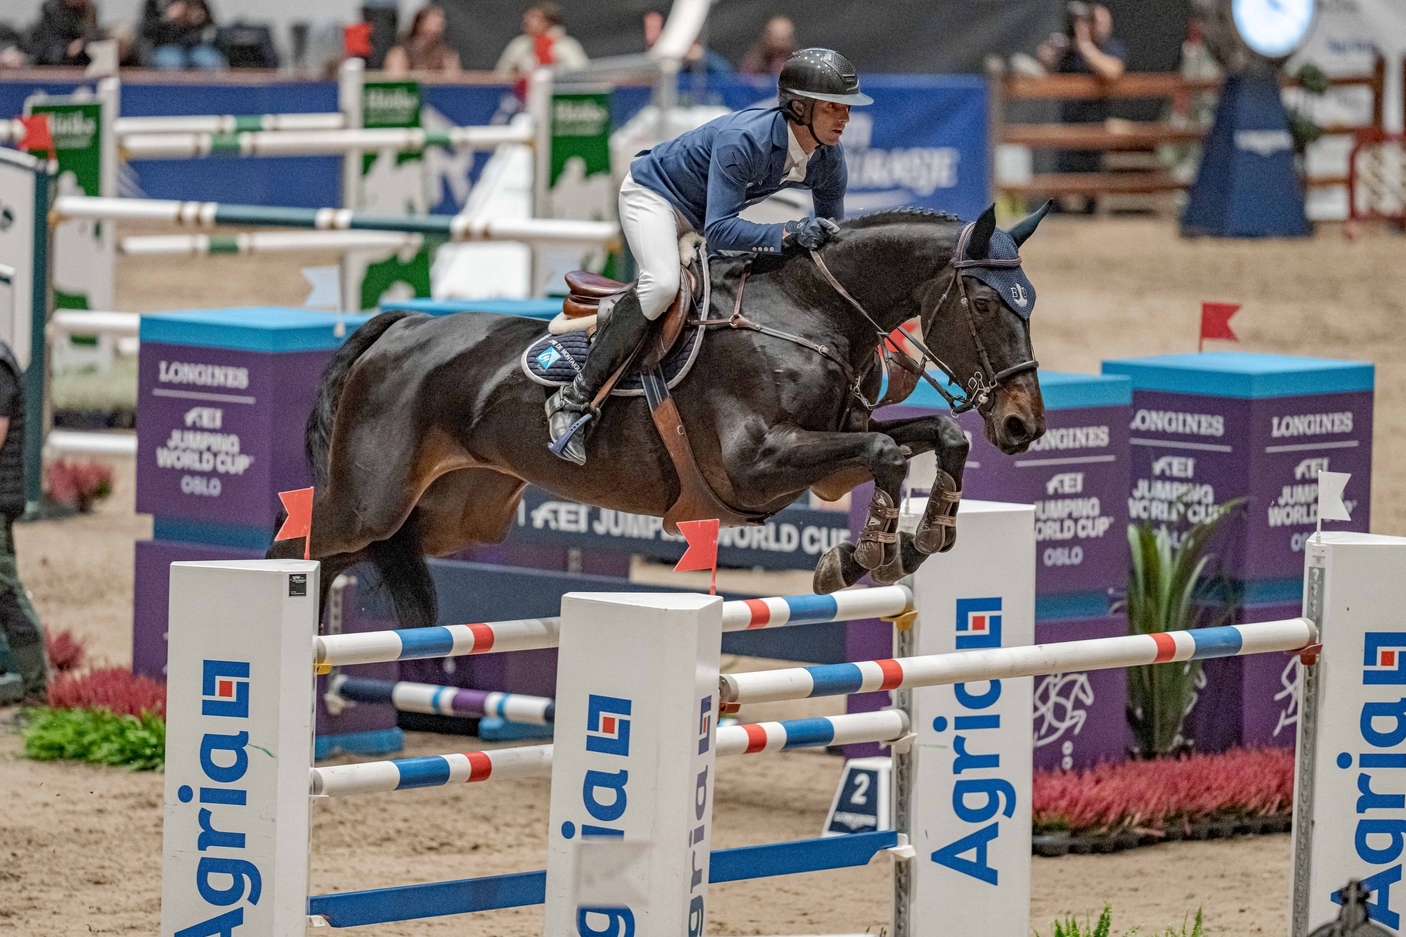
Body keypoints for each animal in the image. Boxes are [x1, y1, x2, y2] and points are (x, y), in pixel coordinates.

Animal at [268, 204, 1051, 627]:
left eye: (1031, 302)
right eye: (986, 304)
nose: (1024, 425)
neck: (806, 314)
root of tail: (398, 327)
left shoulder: (832, 450)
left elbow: (938, 436)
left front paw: (923, 537)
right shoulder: (756, 464)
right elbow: (890, 456)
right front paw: (862, 556)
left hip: (456, 512)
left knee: (350, 557)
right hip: (370, 501)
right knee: (298, 550)